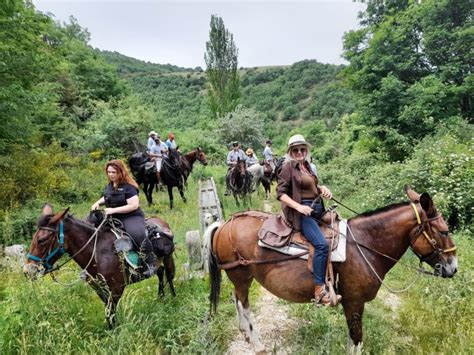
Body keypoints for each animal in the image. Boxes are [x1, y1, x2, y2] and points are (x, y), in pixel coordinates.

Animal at [23, 209, 176, 328]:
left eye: (41, 240)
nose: (28, 271)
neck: (98, 252)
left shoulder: (116, 288)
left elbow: (111, 310)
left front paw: (115, 330)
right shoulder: (98, 287)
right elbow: (108, 310)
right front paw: (113, 327)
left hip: (168, 258)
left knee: (169, 275)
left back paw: (173, 298)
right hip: (157, 263)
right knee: (160, 273)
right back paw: (160, 297)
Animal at [206, 186, 456, 354]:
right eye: (444, 231)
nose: (453, 267)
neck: (365, 243)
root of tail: (225, 224)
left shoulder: (350, 303)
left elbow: (351, 338)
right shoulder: (354, 301)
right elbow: (357, 338)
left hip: (239, 278)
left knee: (236, 300)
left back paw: (245, 334)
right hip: (241, 276)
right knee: (244, 305)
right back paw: (257, 343)